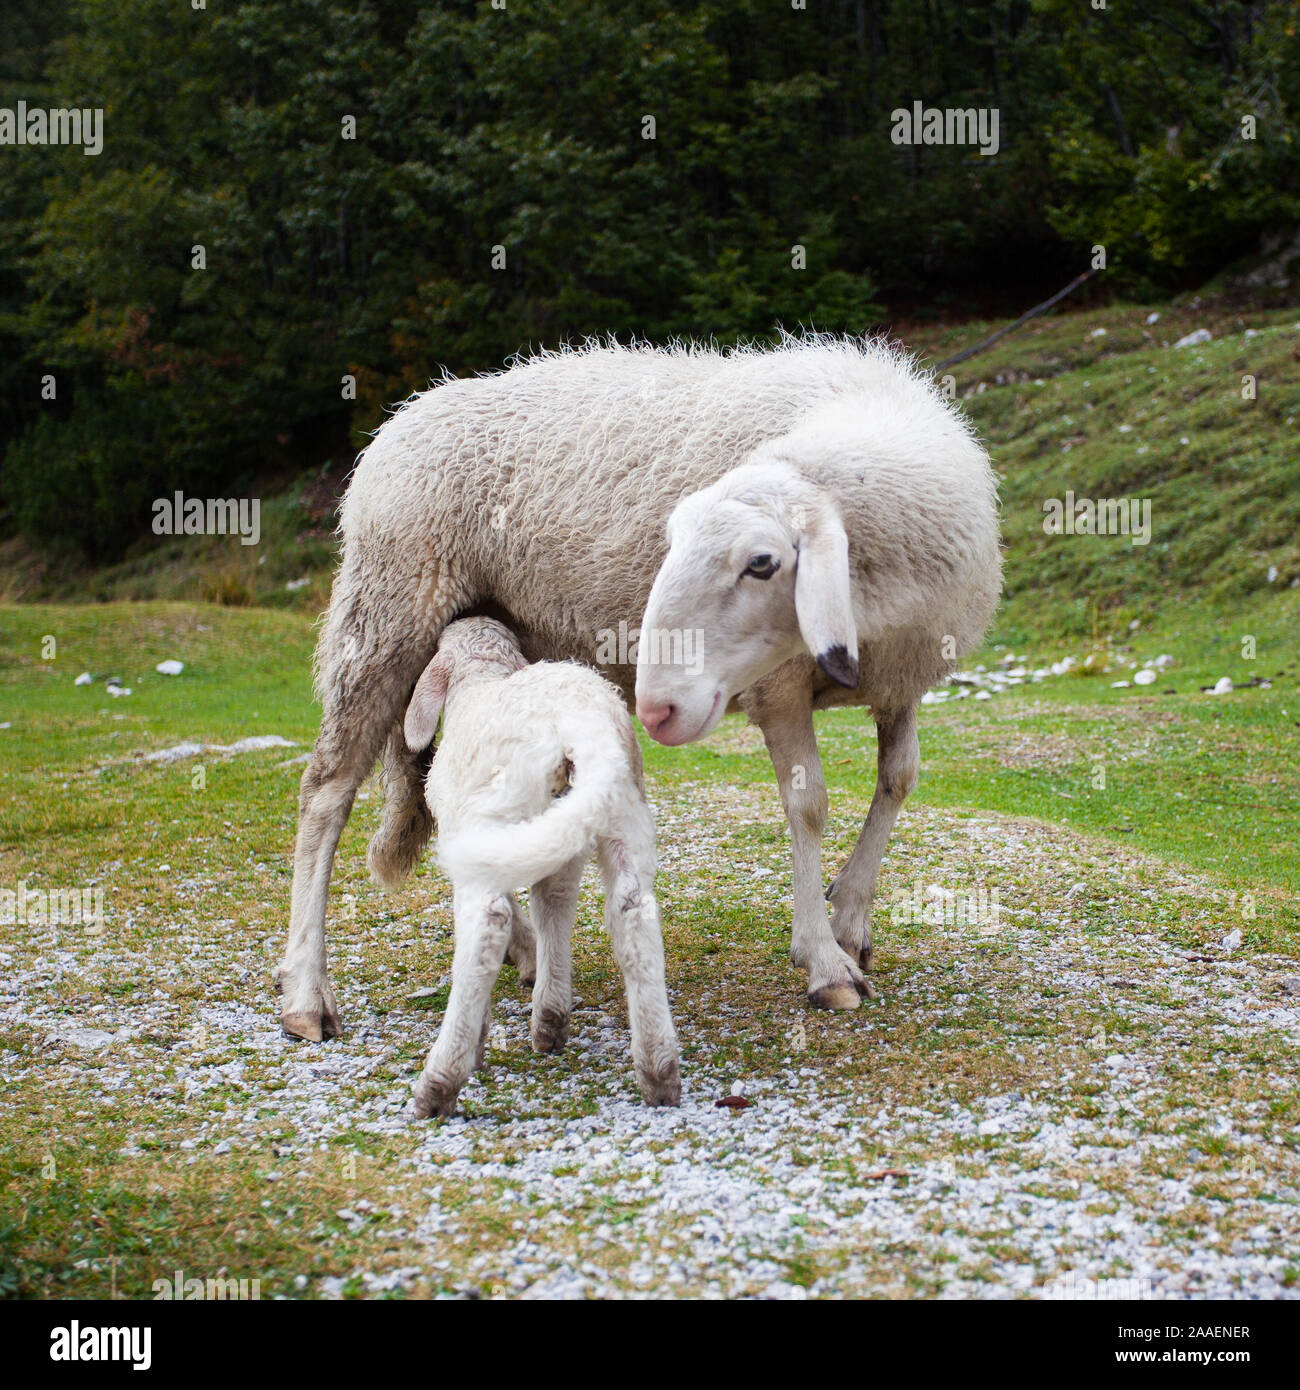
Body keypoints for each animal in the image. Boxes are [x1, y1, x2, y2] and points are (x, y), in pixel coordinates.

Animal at [273, 330, 1001, 1039]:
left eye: (762, 563)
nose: (658, 705)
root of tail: (404, 415)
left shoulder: (898, 679)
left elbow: (899, 779)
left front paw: (849, 918)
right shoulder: (781, 687)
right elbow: (810, 807)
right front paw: (824, 961)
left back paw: (524, 951)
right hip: (386, 615)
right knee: (326, 792)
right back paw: (307, 993)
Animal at [400, 619, 681, 1117]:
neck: (479, 678)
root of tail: (580, 721)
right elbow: (553, 906)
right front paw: (550, 1017)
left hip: (502, 814)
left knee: (488, 923)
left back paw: (440, 1081)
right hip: (615, 810)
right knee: (631, 912)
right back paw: (657, 1069)